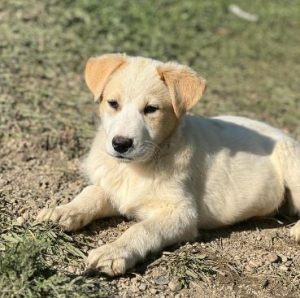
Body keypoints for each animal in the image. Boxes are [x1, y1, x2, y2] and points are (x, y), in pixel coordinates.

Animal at [37, 53, 300, 274]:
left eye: (151, 109)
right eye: (113, 104)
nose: (121, 144)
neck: (137, 167)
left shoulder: (182, 214)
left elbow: (141, 229)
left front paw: (113, 252)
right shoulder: (113, 188)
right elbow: (91, 193)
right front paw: (61, 211)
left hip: (291, 161)